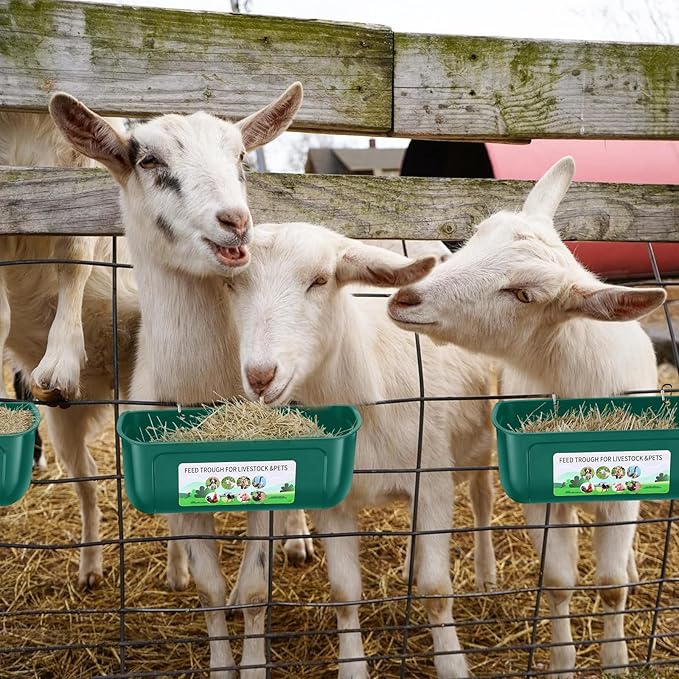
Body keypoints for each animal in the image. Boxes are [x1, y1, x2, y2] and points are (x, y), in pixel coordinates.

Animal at [49, 84, 309, 679]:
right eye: (148, 161)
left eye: (241, 158)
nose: (235, 221)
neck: (207, 385)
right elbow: (210, 589)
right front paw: (221, 660)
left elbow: (255, 588)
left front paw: (251, 663)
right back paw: (175, 569)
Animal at [226, 221, 496, 678]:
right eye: (230, 284)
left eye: (320, 281)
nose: (261, 376)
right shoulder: (337, 505)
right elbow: (344, 592)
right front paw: (352, 666)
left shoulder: (433, 483)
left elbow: (436, 589)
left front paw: (452, 664)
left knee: (482, 496)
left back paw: (486, 572)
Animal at [388, 156, 667, 678]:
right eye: (478, 233)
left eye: (523, 295)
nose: (405, 299)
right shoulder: (540, 498)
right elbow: (557, 581)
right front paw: (561, 660)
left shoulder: (624, 493)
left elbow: (611, 586)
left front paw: (616, 661)